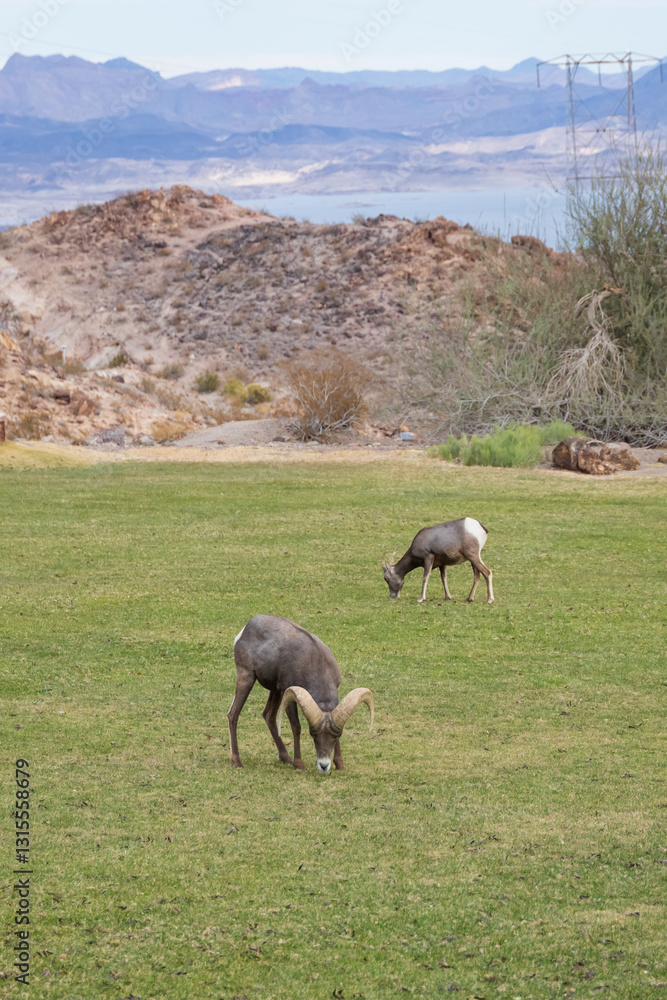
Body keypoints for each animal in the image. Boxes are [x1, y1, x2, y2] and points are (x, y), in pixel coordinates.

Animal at [228, 614, 374, 772]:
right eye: (313, 735)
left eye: (336, 736)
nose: (324, 765)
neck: (315, 660)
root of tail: (246, 629)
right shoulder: (289, 695)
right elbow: (296, 727)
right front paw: (298, 764)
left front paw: (339, 764)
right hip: (247, 678)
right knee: (233, 714)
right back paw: (236, 761)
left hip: (275, 691)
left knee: (269, 716)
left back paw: (285, 758)